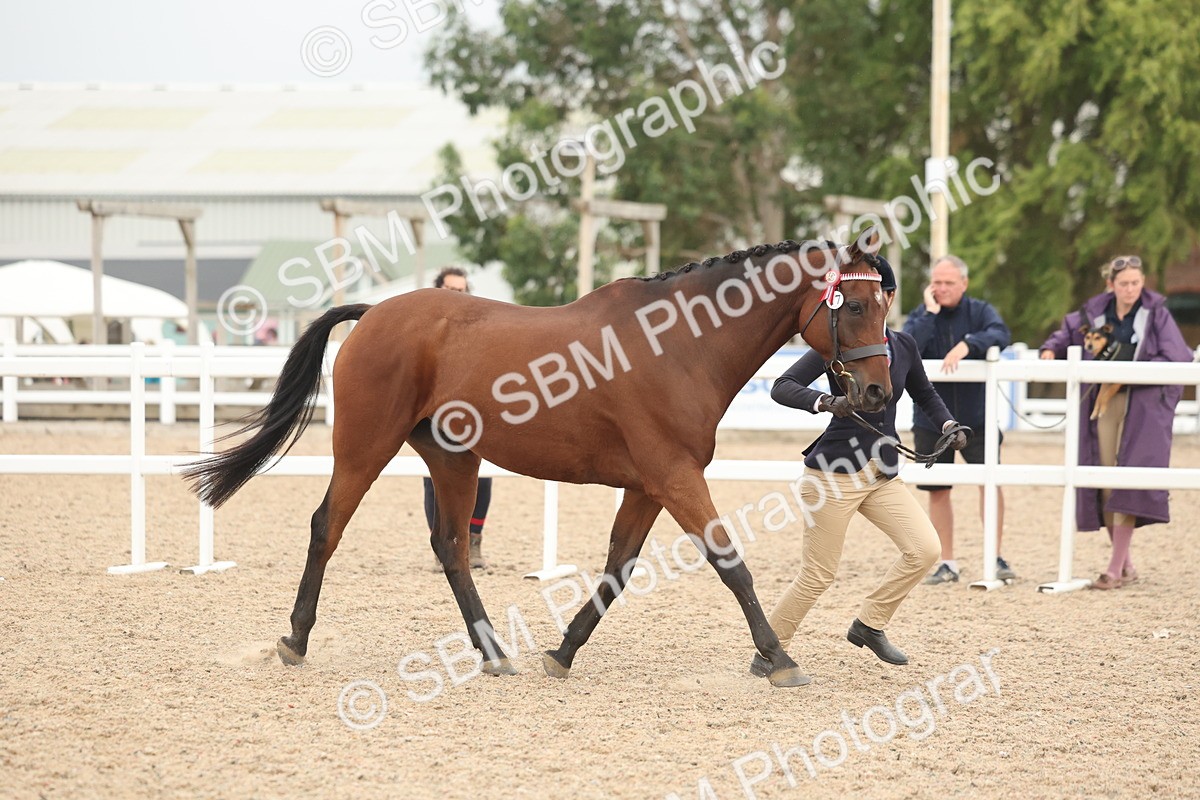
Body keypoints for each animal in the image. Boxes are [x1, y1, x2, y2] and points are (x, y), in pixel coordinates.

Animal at [182, 230, 893, 688]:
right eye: (855, 304)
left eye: (886, 304)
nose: (877, 393)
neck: (680, 345)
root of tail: (375, 312)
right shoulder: (675, 477)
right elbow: (731, 564)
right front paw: (779, 659)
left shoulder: (649, 485)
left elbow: (618, 568)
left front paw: (564, 651)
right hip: (364, 447)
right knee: (327, 526)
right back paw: (295, 640)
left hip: (454, 459)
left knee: (450, 546)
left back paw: (495, 652)